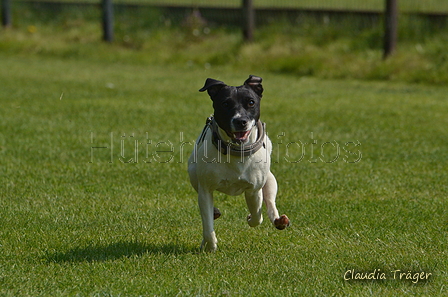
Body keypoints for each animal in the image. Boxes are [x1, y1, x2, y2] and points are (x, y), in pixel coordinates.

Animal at [186, 74, 288, 250]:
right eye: (225, 103)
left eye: (251, 102)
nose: (241, 121)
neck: (236, 152)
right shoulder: (206, 190)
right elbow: (207, 224)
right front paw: (210, 245)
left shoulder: (254, 190)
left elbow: (257, 215)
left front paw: (251, 218)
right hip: (193, 173)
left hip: (270, 179)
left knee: (270, 201)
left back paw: (279, 220)